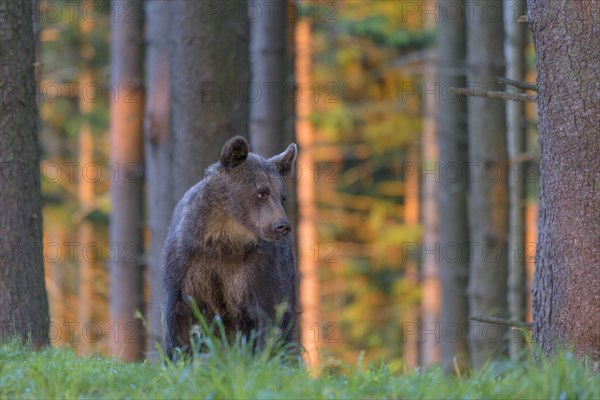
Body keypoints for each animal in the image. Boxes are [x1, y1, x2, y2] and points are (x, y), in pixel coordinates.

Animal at [163, 136, 298, 358]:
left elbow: (268, 313)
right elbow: (179, 314)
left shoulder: (258, 267)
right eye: (261, 193)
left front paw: (263, 357)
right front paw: (177, 356)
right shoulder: (187, 261)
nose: (282, 226)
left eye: (282, 197)